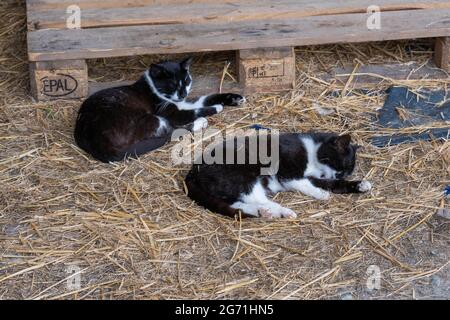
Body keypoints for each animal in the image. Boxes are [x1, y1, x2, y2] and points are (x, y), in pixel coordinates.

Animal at [75, 57, 248, 162]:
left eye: (186, 80)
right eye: (172, 85)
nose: (183, 94)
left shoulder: (183, 102)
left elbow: (205, 98)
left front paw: (234, 98)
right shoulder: (169, 111)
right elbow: (194, 111)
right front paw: (217, 107)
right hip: (152, 120)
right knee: (172, 131)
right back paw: (201, 123)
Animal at [185, 131, 374, 219]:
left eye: (347, 173)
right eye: (341, 167)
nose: (338, 176)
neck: (312, 150)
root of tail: (193, 171)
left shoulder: (316, 176)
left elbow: (328, 184)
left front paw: (360, 184)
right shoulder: (287, 170)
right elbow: (301, 182)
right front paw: (321, 194)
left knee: (239, 203)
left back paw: (264, 212)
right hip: (242, 178)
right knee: (258, 198)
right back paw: (284, 211)